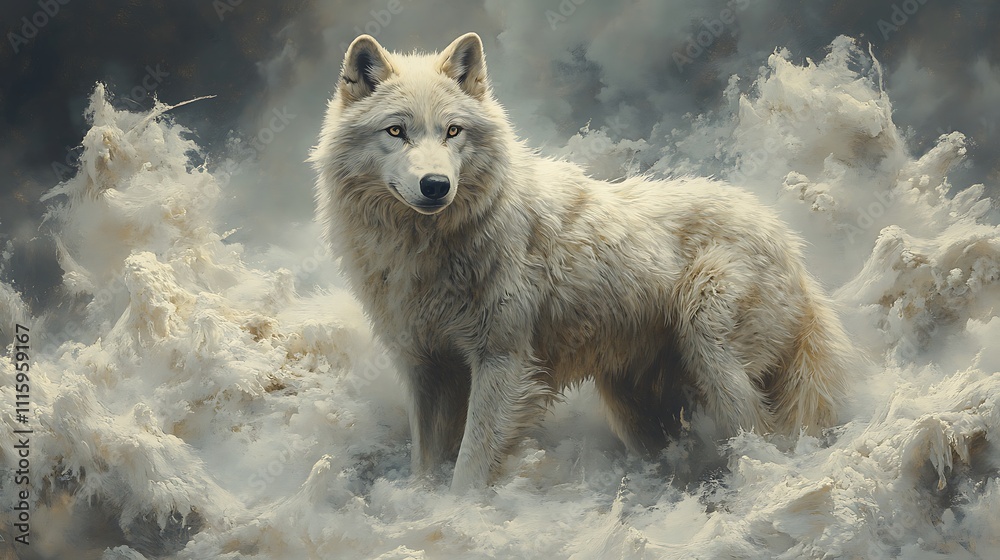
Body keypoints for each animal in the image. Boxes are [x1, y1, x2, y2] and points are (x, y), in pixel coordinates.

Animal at [310, 32, 853, 491]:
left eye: (453, 131)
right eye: (396, 131)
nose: (436, 186)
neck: (425, 250)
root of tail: (790, 246)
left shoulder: (502, 362)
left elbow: (471, 465)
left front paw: (454, 519)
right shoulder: (424, 368)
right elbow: (426, 462)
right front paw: (420, 512)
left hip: (711, 347)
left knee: (764, 433)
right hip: (632, 405)